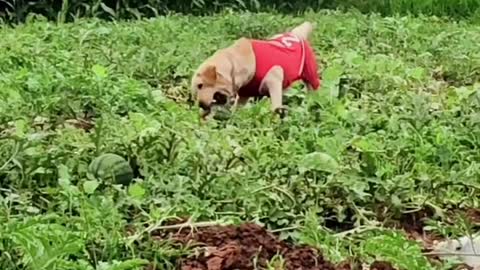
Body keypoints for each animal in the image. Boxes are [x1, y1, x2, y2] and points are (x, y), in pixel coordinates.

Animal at [189, 21, 320, 118]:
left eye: (200, 85)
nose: (201, 106)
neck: (234, 64)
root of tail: (295, 34)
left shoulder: (274, 81)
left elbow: (275, 107)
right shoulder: (244, 95)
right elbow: (236, 110)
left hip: (310, 75)